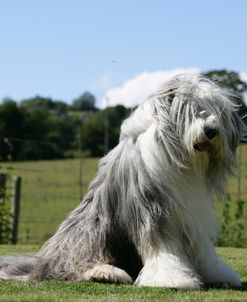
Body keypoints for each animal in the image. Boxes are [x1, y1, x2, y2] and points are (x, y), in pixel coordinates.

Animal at [0, 74, 245, 290]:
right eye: (189, 109)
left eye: (217, 111)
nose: (211, 131)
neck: (182, 159)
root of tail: (40, 264)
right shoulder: (154, 211)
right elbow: (162, 248)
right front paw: (172, 279)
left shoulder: (193, 215)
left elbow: (203, 251)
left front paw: (218, 275)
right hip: (92, 231)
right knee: (73, 265)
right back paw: (106, 273)